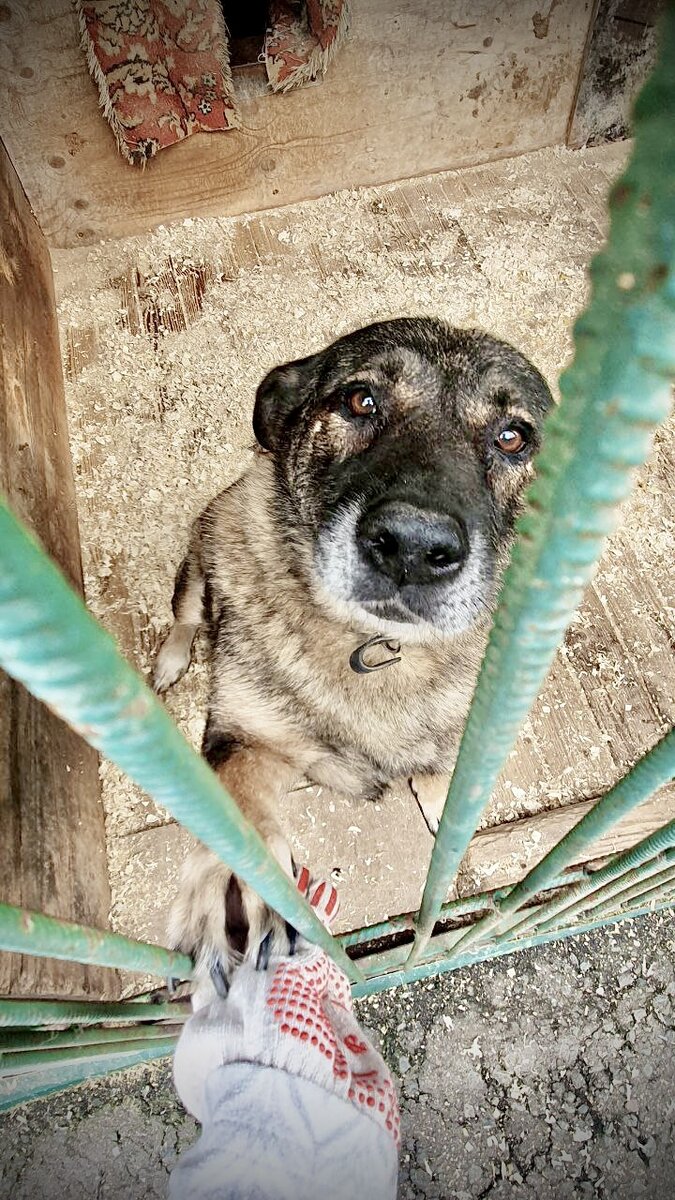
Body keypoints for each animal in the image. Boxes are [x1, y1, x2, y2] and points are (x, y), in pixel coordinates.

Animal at [153, 316, 552, 984]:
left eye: (512, 436)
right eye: (360, 400)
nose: (412, 548)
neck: (373, 646)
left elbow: (444, 784)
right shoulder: (248, 734)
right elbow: (239, 800)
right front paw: (234, 880)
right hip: (202, 553)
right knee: (186, 613)